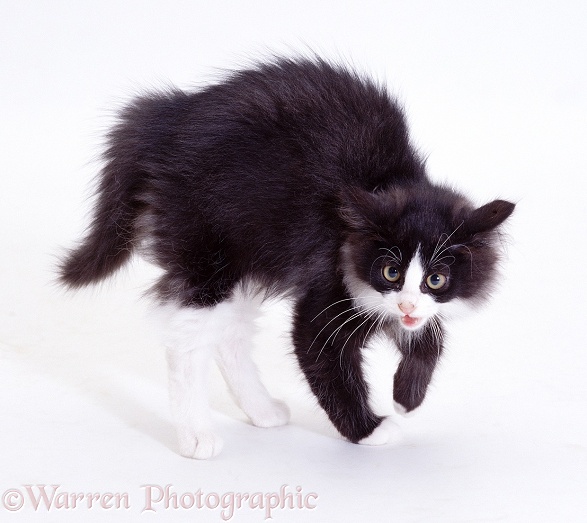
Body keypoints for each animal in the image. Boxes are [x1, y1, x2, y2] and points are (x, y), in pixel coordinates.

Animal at [59, 56, 516, 458]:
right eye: (390, 271)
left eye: (436, 279)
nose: (405, 306)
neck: (386, 183)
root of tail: (169, 116)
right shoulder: (327, 286)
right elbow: (322, 357)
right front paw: (368, 430)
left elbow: (430, 337)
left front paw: (407, 396)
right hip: (206, 247)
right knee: (186, 341)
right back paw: (196, 436)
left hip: (246, 252)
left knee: (231, 332)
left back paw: (261, 410)